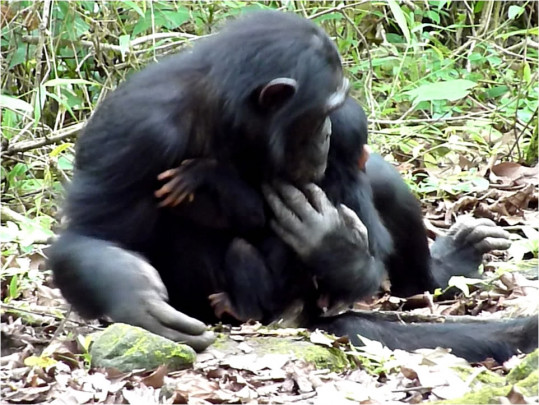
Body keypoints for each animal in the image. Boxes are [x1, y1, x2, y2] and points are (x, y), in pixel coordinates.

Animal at [48, 11, 536, 360]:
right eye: (324, 110)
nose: (327, 134)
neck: (230, 119)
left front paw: (334, 246)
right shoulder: (136, 130)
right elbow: (92, 235)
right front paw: (136, 298)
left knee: (383, 182)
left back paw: (443, 268)